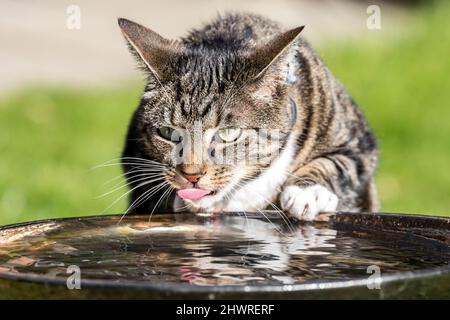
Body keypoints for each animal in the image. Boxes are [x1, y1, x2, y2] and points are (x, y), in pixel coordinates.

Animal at [118, 13, 378, 221]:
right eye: (167, 133)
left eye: (228, 133)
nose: (192, 175)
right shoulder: (133, 154)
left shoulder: (357, 140)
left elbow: (338, 163)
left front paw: (308, 193)